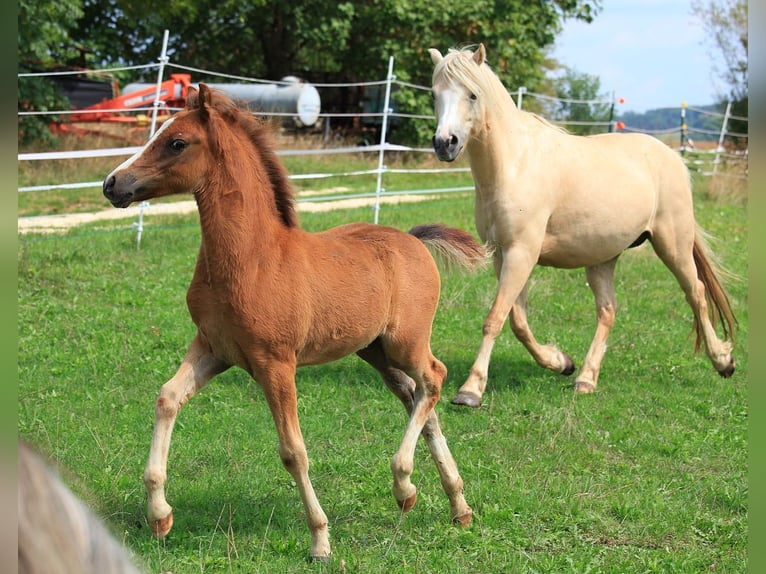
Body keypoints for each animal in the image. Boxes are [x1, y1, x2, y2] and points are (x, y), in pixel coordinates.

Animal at [102, 84, 489, 560]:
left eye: (176, 142)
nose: (112, 183)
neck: (252, 259)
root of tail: (413, 240)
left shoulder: (275, 364)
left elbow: (293, 451)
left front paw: (320, 539)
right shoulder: (213, 348)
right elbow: (167, 398)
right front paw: (160, 516)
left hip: (406, 343)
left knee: (434, 378)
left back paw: (405, 484)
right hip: (375, 352)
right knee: (418, 399)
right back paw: (452, 504)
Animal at [429, 44, 737, 407]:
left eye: (472, 94)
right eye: (435, 94)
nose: (444, 143)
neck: (515, 165)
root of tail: (671, 156)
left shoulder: (522, 253)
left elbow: (495, 319)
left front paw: (471, 390)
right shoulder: (504, 255)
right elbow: (518, 321)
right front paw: (560, 362)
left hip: (673, 246)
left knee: (696, 294)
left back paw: (723, 361)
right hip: (603, 258)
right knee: (608, 311)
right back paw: (586, 378)